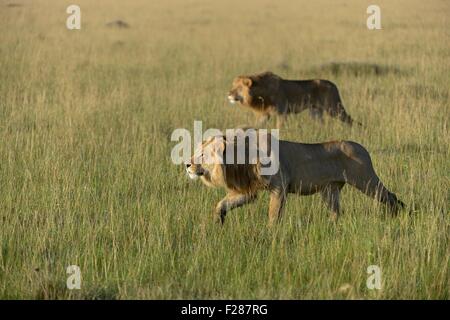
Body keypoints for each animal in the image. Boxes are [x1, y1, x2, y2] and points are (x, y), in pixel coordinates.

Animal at [185, 130, 404, 225]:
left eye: (202, 155)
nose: (187, 165)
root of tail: (362, 147)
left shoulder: (279, 187)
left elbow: (273, 214)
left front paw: (270, 235)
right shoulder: (248, 190)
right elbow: (222, 204)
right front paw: (218, 222)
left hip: (365, 180)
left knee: (390, 196)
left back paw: (396, 216)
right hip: (330, 190)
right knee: (336, 212)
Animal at [227, 71, 360, 129]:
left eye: (238, 88)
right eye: (233, 86)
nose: (228, 94)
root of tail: (333, 84)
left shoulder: (282, 112)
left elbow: (279, 127)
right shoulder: (264, 114)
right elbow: (257, 125)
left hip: (333, 109)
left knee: (349, 120)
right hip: (316, 112)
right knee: (321, 125)